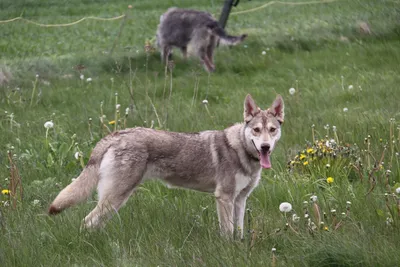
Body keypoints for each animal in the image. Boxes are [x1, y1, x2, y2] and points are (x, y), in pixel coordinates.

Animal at [48, 94, 282, 239]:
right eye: (256, 130)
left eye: (272, 130)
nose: (265, 147)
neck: (241, 150)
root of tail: (115, 135)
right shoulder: (224, 198)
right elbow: (227, 233)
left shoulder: (240, 199)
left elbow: (238, 232)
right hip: (116, 197)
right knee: (87, 222)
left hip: (113, 201)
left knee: (94, 222)